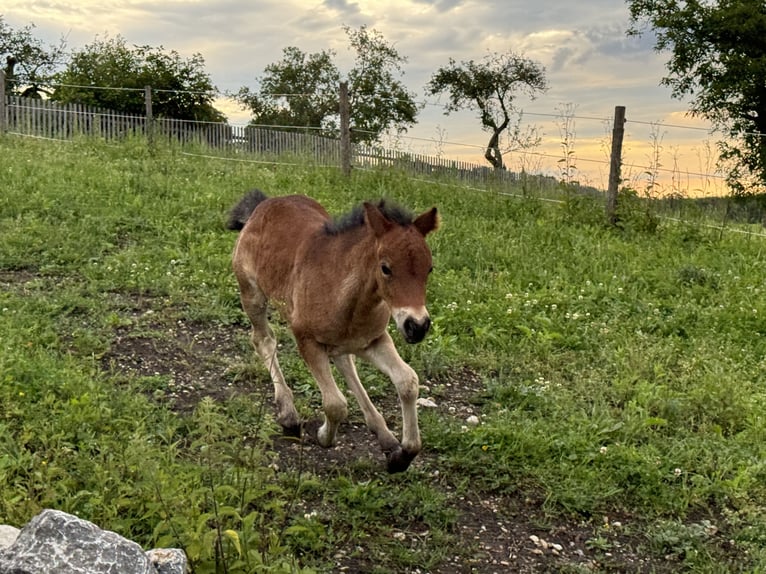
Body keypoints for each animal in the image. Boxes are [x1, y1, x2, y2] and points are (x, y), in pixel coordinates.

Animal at [226, 191, 438, 474]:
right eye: (385, 268)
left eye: (429, 268)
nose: (417, 326)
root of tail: (266, 202)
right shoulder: (306, 340)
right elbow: (335, 404)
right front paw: (324, 436)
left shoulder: (374, 340)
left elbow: (408, 381)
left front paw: (404, 453)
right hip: (252, 294)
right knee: (264, 340)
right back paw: (289, 416)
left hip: (344, 342)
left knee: (344, 361)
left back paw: (385, 436)